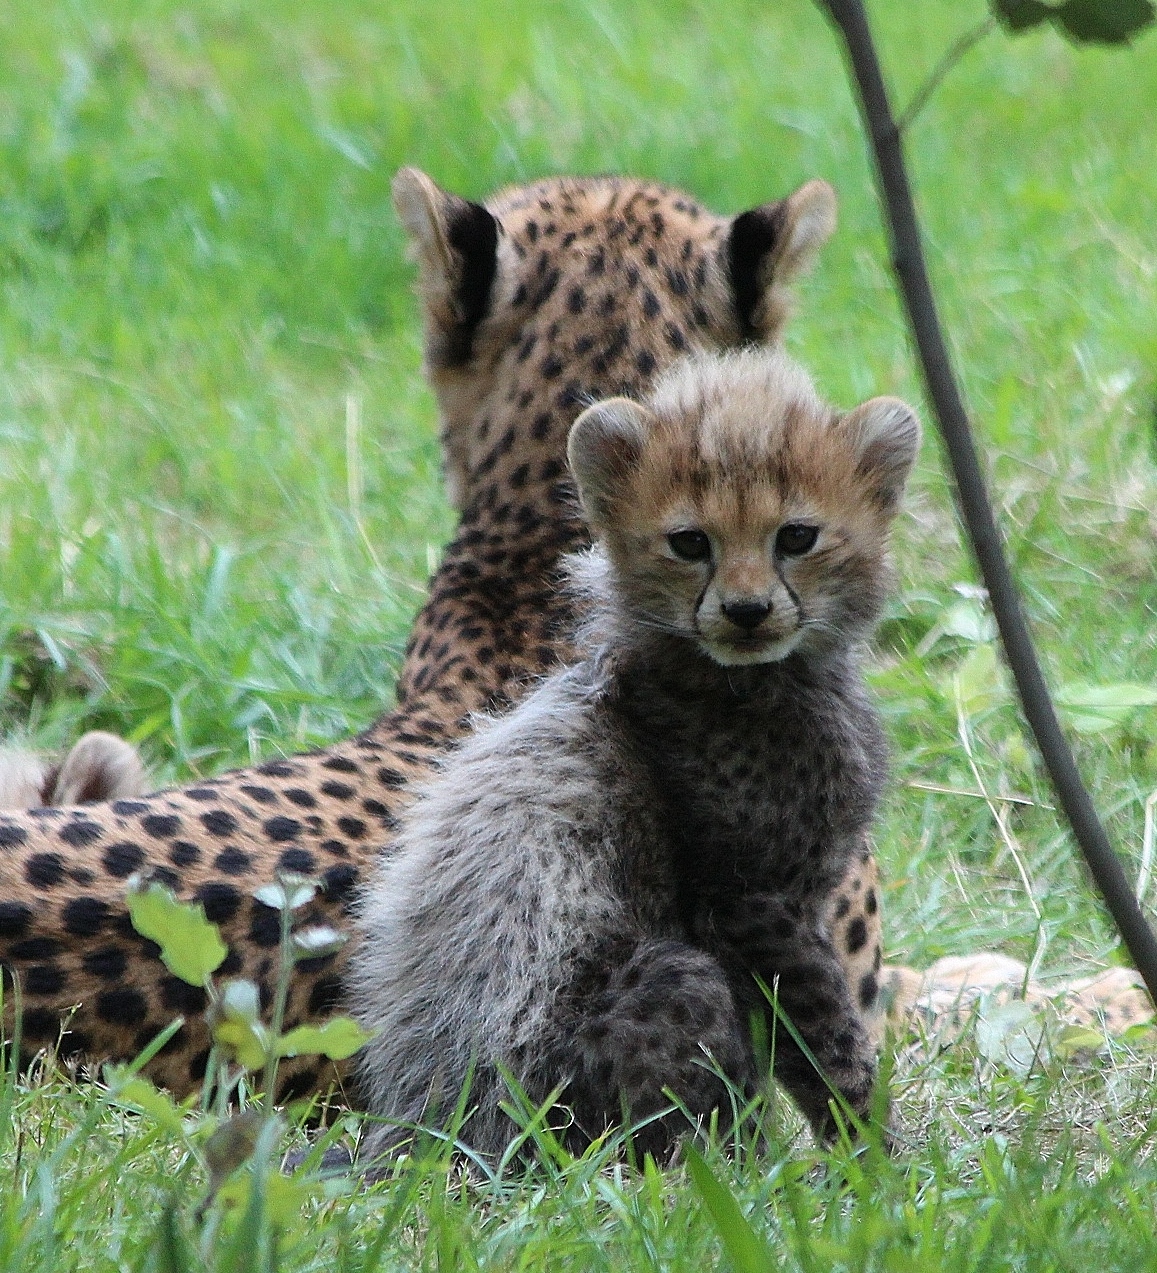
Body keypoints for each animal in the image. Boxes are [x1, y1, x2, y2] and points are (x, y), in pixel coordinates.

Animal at [352, 347, 920, 1160]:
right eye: (690, 543)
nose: (746, 611)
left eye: (796, 537)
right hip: (656, 999)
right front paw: (873, 1158)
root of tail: (424, 1135)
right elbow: (826, 1046)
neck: (746, 677)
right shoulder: (749, 909)